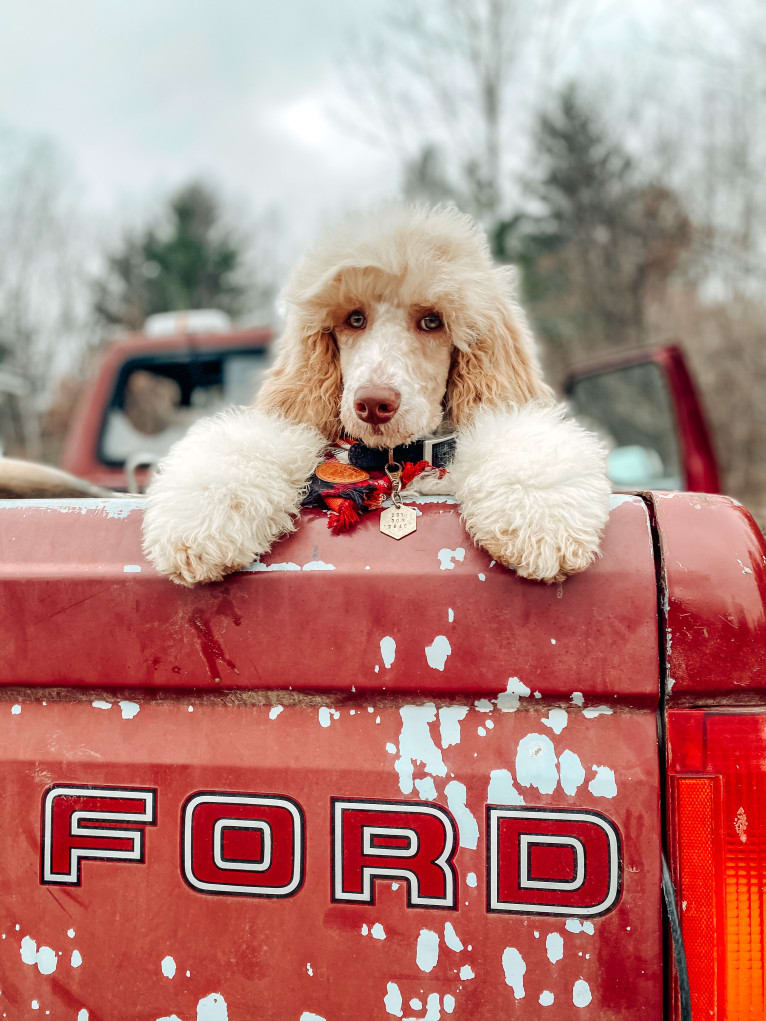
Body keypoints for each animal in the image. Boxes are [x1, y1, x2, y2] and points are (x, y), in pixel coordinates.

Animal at [142, 204, 612, 588]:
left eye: (432, 321)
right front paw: (199, 526)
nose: (373, 404)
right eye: (354, 318)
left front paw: (543, 523)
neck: (394, 463)